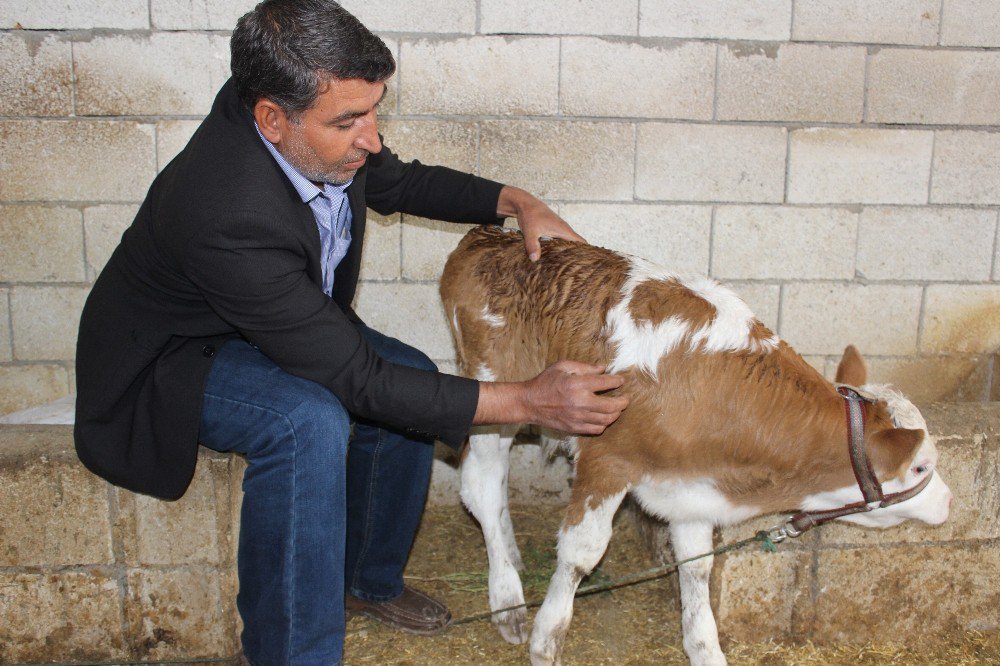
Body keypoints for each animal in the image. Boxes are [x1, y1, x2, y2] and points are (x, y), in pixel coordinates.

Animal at [444, 226, 952, 660]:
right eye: (920, 467)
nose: (948, 502)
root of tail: (491, 236)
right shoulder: (607, 458)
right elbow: (580, 553)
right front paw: (546, 640)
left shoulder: (692, 485)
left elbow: (696, 567)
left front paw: (705, 648)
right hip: (495, 388)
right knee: (481, 486)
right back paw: (507, 599)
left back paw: (508, 556)